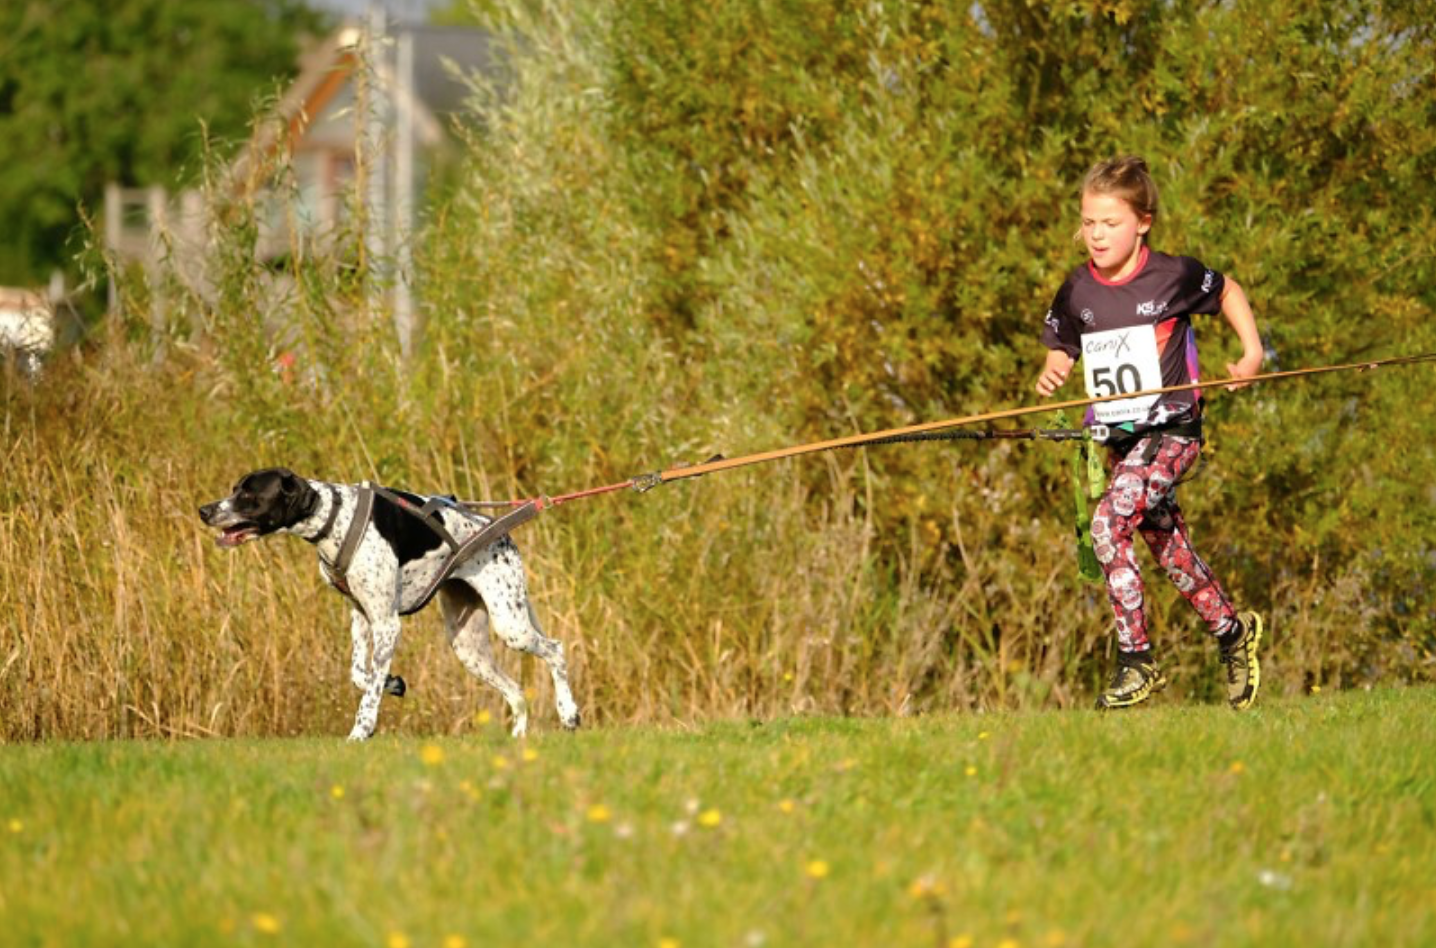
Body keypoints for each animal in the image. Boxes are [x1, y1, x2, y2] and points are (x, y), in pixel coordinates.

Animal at [199, 468, 580, 741]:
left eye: (249, 494)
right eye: (234, 488)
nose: (204, 510)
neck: (335, 518)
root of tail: (501, 533)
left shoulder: (387, 623)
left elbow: (368, 694)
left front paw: (360, 731)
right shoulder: (360, 615)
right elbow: (360, 674)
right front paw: (391, 684)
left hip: (510, 624)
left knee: (556, 650)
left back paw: (569, 713)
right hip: (468, 646)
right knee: (516, 691)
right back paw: (519, 738)